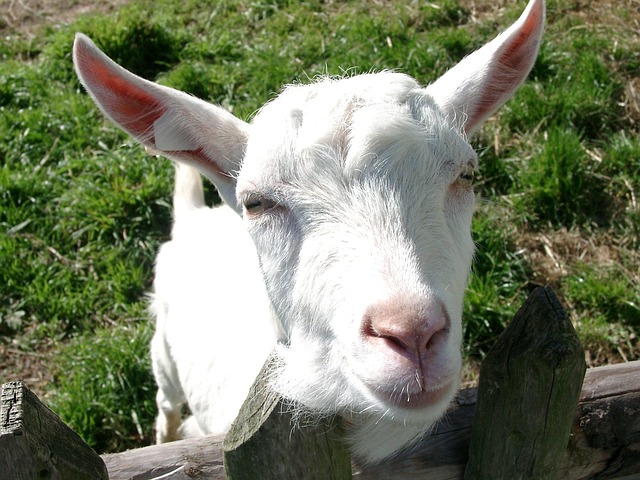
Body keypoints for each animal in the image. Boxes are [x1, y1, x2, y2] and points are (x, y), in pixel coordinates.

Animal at [72, 0, 544, 463]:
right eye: (255, 202)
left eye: (466, 174)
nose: (412, 333)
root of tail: (194, 218)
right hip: (163, 355)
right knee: (166, 404)